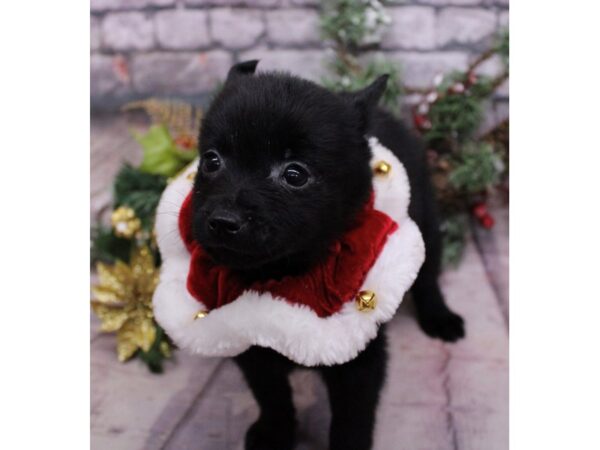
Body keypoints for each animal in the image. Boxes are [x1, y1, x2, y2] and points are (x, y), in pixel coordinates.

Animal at [192, 61, 464, 450]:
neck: (283, 277)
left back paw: (440, 317)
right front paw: (274, 433)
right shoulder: (249, 344)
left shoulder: (359, 359)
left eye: (295, 174)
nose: (222, 221)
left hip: (426, 221)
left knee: (428, 277)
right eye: (211, 161)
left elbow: (352, 420)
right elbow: (272, 395)